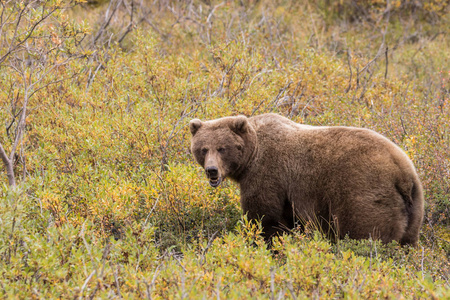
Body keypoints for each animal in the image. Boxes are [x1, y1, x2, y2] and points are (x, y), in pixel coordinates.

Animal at [188, 113, 424, 245]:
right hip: (415, 207)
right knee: (407, 241)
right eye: (203, 149)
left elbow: (265, 218)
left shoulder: (268, 174)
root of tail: (402, 173)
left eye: (222, 148)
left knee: (367, 235)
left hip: (365, 193)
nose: (212, 171)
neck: (251, 156)